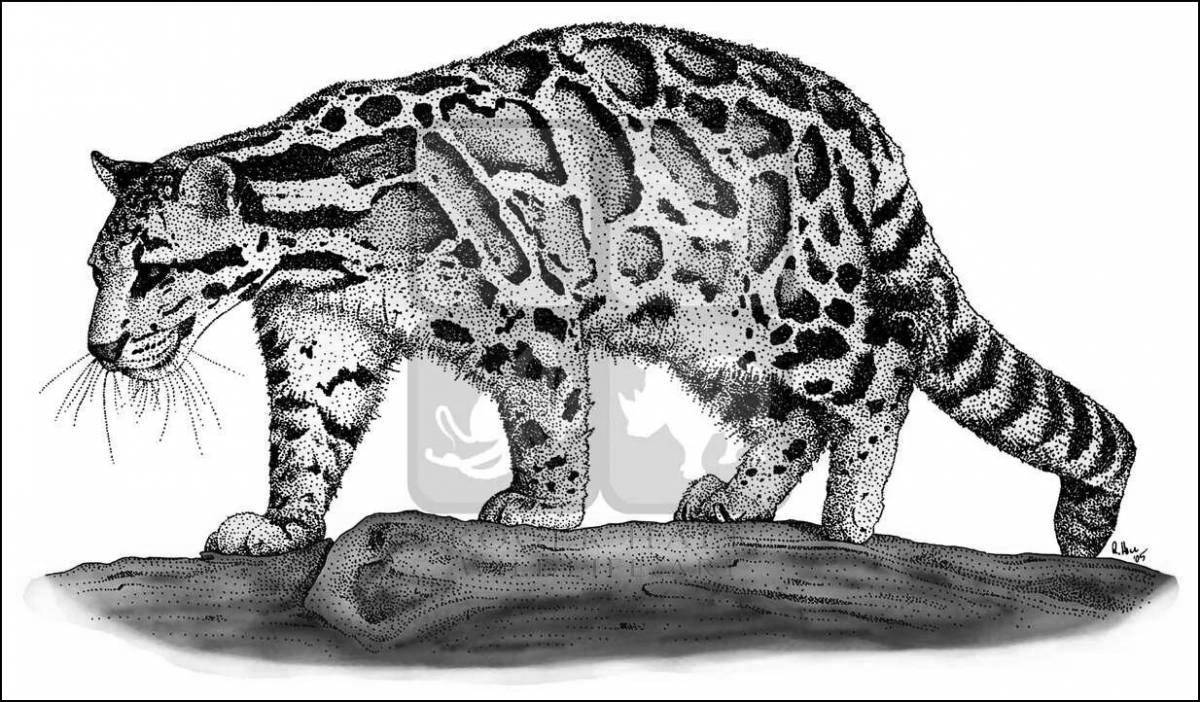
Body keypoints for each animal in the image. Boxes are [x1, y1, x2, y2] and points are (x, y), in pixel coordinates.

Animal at [83, 23, 1135, 558]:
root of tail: (860, 120)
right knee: (795, 413)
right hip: (716, 327)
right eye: (96, 271)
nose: (100, 346)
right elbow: (306, 437)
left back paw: (852, 517)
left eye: (153, 268)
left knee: (882, 374)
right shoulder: (320, 335)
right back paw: (740, 498)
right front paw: (285, 523)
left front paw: (543, 508)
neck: (323, 250)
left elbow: (550, 420)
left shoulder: (530, 312)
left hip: (800, 301)